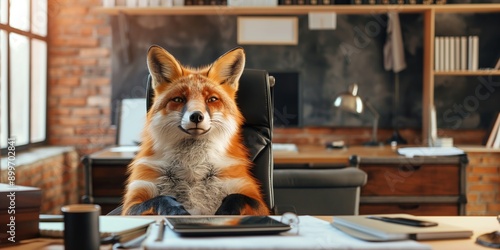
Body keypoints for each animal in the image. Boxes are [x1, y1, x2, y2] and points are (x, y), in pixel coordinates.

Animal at [121, 45, 270, 217]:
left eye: (212, 99)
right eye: (178, 99)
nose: (197, 116)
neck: (193, 167)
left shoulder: (256, 200)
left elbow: (237, 197)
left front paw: (224, 213)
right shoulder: (132, 203)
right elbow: (161, 199)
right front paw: (177, 211)